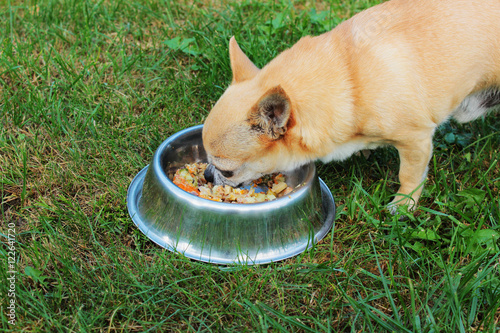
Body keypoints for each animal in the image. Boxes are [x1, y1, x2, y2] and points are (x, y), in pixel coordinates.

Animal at [202, 0, 500, 210]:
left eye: (227, 171)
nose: (206, 175)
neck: (348, 77)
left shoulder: (416, 140)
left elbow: (409, 175)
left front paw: (404, 204)